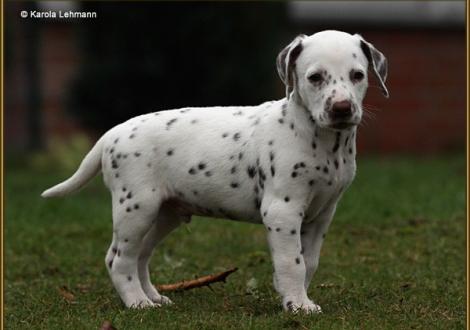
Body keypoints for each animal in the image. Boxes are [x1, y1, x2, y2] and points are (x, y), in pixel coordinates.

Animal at [42, 31, 390, 314]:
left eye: (357, 75)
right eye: (315, 77)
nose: (342, 108)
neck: (322, 140)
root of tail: (112, 133)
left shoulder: (322, 214)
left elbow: (309, 262)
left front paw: (295, 297)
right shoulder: (283, 210)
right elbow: (292, 262)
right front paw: (297, 304)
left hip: (163, 214)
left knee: (140, 255)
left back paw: (153, 296)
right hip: (136, 208)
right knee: (118, 259)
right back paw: (137, 302)